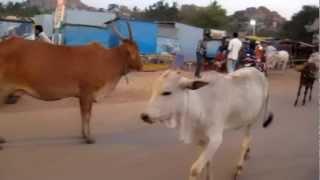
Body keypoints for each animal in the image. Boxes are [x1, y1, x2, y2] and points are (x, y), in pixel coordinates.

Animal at [0, 22, 142, 148]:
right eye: (134, 51)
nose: (141, 66)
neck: (107, 60)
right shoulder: (87, 93)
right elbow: (87, 115)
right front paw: (88, 138)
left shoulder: (84, 96)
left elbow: (84, 115)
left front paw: (84, 135)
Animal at [141, 68, 274, 180]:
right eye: (152, 91)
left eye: (167, 92)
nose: (144, 116)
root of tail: (259, 73)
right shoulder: (202, 139)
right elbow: (208, 161)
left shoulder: (215, 139)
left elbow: (195, 169)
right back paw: (247, 153)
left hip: (252, 121)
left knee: (245, 141)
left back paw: (239, 168)